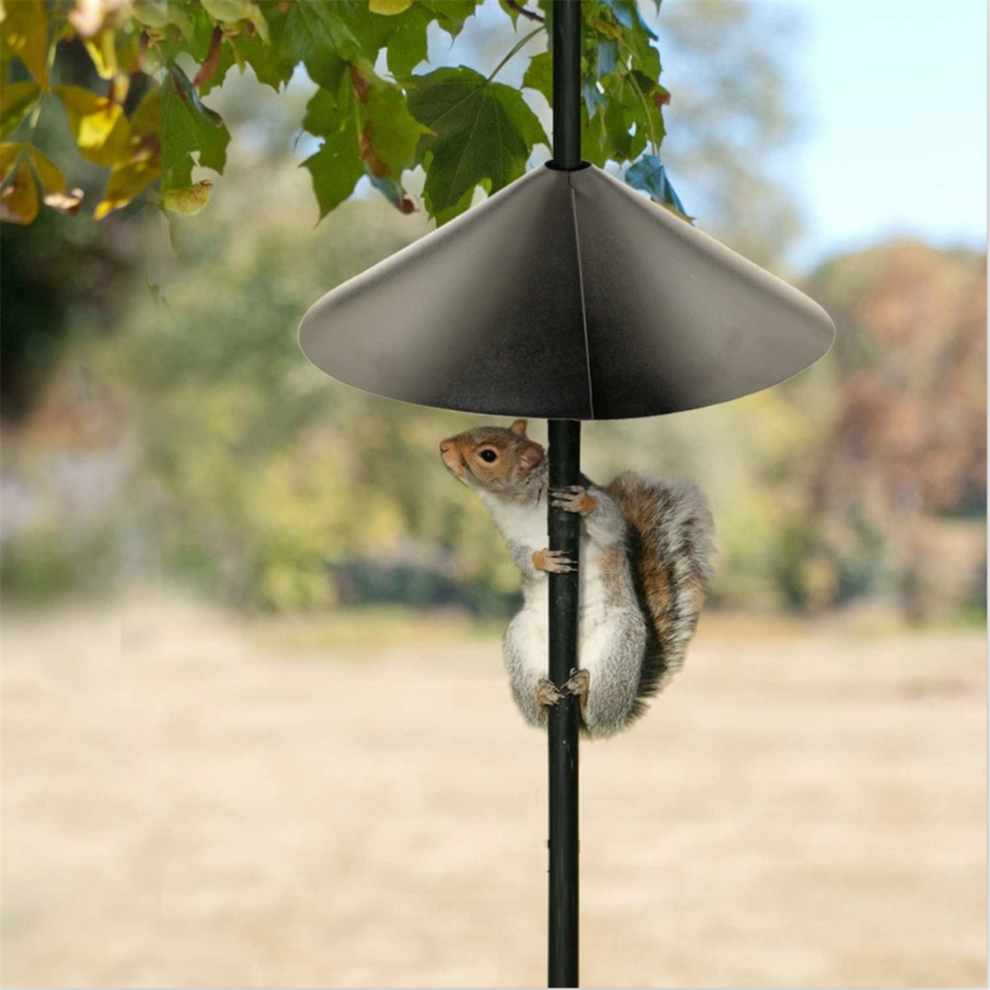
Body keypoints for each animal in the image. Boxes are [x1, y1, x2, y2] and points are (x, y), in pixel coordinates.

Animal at [440, 419, 716, 738]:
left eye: (487, 455)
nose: (443, 447)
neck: (518, 503)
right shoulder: (513, 539)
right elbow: (523, 559)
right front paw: (543, 560)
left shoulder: (605, 519)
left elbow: (611, 524)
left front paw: (583, 503)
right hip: (521, 640)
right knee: (539, 716)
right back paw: (543, 696)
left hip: (619, 644)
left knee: (597, 714)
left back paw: (584, 694)